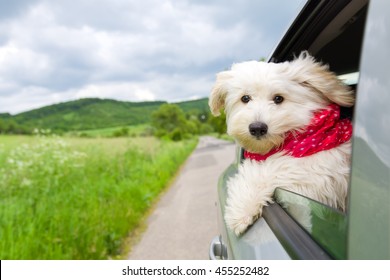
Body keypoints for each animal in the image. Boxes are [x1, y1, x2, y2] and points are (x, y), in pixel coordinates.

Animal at [210, 52, 354, 234]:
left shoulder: (323, 169)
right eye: (245, 98)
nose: (257, 128)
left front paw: (241, 208)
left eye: (278, 98)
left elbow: (276, 167)